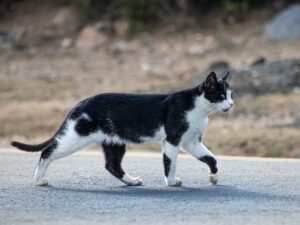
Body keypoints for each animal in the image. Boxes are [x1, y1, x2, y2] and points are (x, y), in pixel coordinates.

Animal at [11, 71, 234, 186]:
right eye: (221, 96)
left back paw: (132, 181)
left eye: (231, 95)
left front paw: (214, 177)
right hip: (74, 137)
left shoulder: (191, 141)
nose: (232, 104)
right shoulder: (173, 139)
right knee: (47, 152)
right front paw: (171, 182)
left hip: (114, 142)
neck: (200, 109)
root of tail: (80, 103)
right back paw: (39, 180)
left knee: (112, 165)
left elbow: (211, 157)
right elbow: (170, 163)